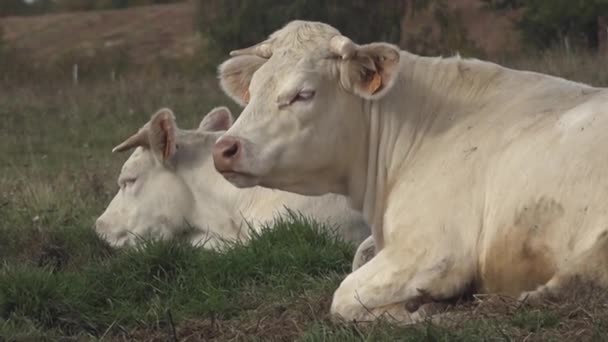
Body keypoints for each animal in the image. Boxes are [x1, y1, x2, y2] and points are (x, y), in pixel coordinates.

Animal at [213, 19, 608, 324]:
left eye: (303, 94)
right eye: (254, 88)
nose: (224, 149)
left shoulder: (433, 248)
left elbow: (344, 297)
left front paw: (419, 309)